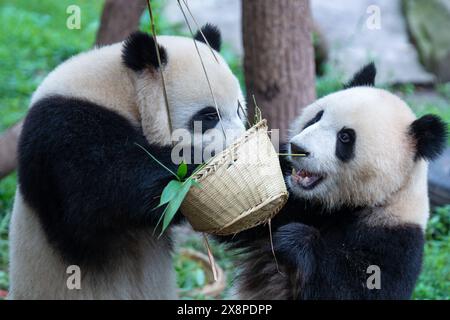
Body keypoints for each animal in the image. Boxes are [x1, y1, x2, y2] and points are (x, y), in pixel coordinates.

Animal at [7, 23, 246, 300]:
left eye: (239, 109)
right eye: (209, 116)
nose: (238, 142)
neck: (123, 90)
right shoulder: (62, 129)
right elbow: (100, 194)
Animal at [218, 63, 446, 298]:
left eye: (345, 137)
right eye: (317, 117)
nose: (297, 148)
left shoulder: (395, 238)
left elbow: (360, 286)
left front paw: (292, 240)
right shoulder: (296, 201)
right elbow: (240, 224)